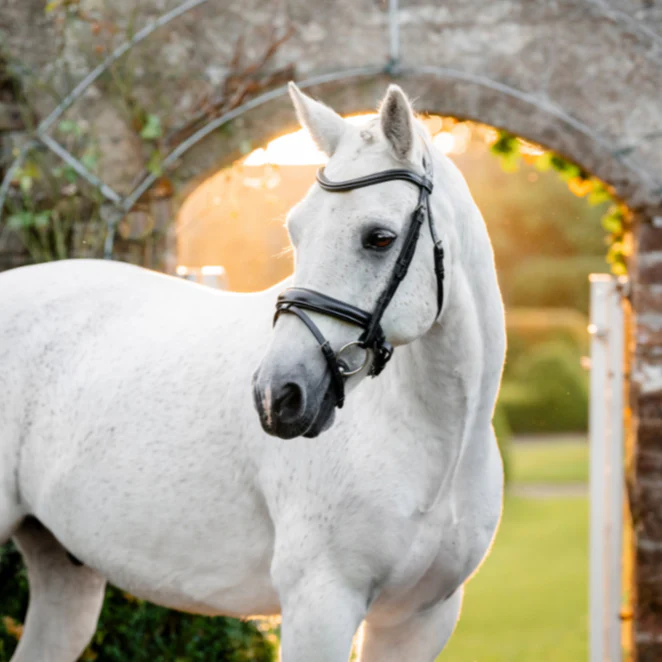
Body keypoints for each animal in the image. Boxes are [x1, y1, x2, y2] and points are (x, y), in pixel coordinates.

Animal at [0, 83, 506, 662]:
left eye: (378, 237)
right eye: (296, 230)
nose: (277, 396)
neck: (437, 447)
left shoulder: (418, 621)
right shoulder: (320, 606)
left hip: (65, 574)